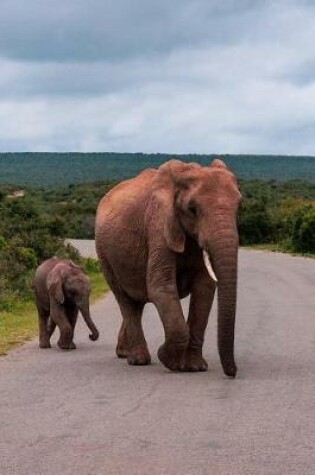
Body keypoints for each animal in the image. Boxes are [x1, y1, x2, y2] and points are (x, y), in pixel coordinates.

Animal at [95, 160, 242, 380]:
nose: (232, 373)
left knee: (136, 303)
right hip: (104, 253)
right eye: (192, 209)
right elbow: (161, 287)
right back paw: (138, 360)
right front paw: (168, 359)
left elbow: (204, 290)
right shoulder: (158, 225)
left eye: (238, 206)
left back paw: (124, 353)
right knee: (126, 300)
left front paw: (195, 367)